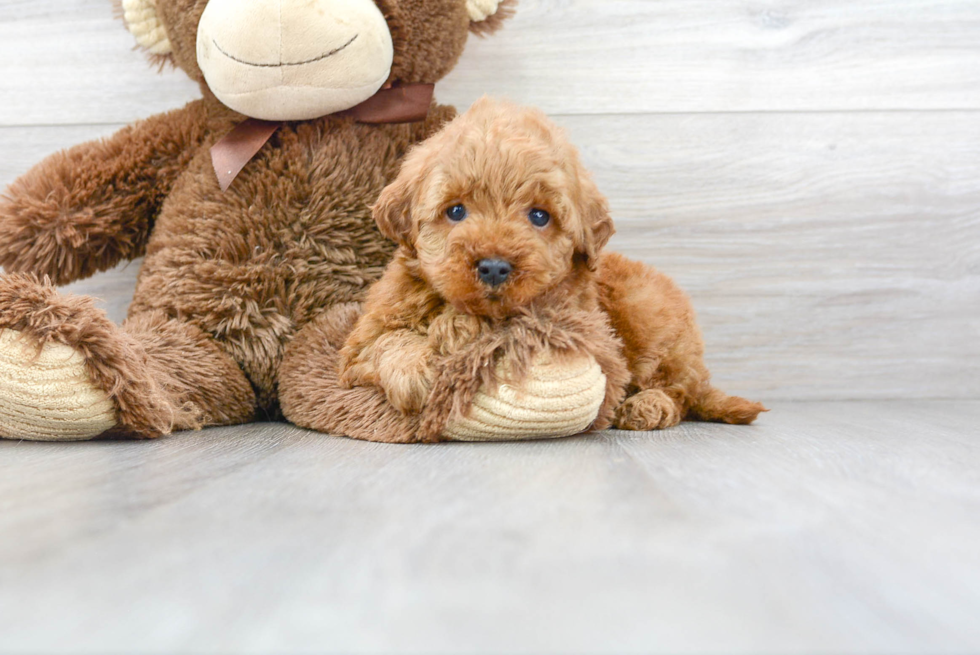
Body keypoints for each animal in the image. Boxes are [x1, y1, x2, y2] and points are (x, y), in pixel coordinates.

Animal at [338, 97, 764, 430]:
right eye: (455, 211)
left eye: (539, 216)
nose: (494, 266)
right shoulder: (360, 344)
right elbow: (386, 341)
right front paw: (415, 368)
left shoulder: (572, 319)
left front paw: (456, 327)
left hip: (651, 318)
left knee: (679, 391)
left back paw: (647, 406)